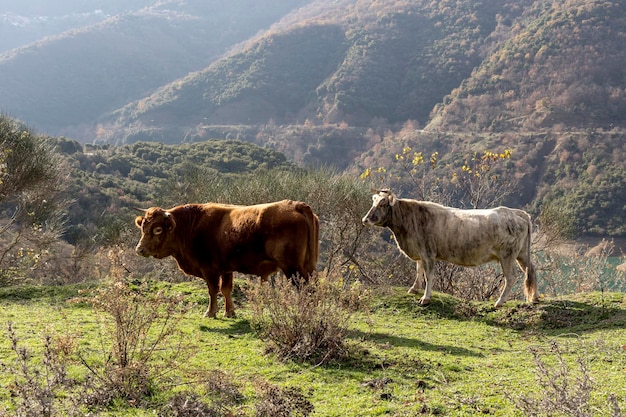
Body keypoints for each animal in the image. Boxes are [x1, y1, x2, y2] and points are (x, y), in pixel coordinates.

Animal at [132, 200, 316, 316]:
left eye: (157, 229)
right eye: (143, 227)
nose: (139, 249)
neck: (190, 225)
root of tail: (296, 205)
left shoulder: (209, 269)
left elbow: (213, 290)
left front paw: (210, 312)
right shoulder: (227, 269)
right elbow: (226, 289)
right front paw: (230, 312)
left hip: (293, 268)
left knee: (305, 289)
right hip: (307, 267)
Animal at [360, 190, 536, 308]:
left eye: (382, 204)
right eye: (373, 203)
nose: (365, 219)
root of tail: (516, 212)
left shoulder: (428, 253)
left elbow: (428, 275)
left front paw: (425, 298)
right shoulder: (420, 252)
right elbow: (418, 270)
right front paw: (414, 289)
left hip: (507, 255)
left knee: (511, 277)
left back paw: (499, 302)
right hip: (521, 254)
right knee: (531, 270)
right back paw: (534, 298)